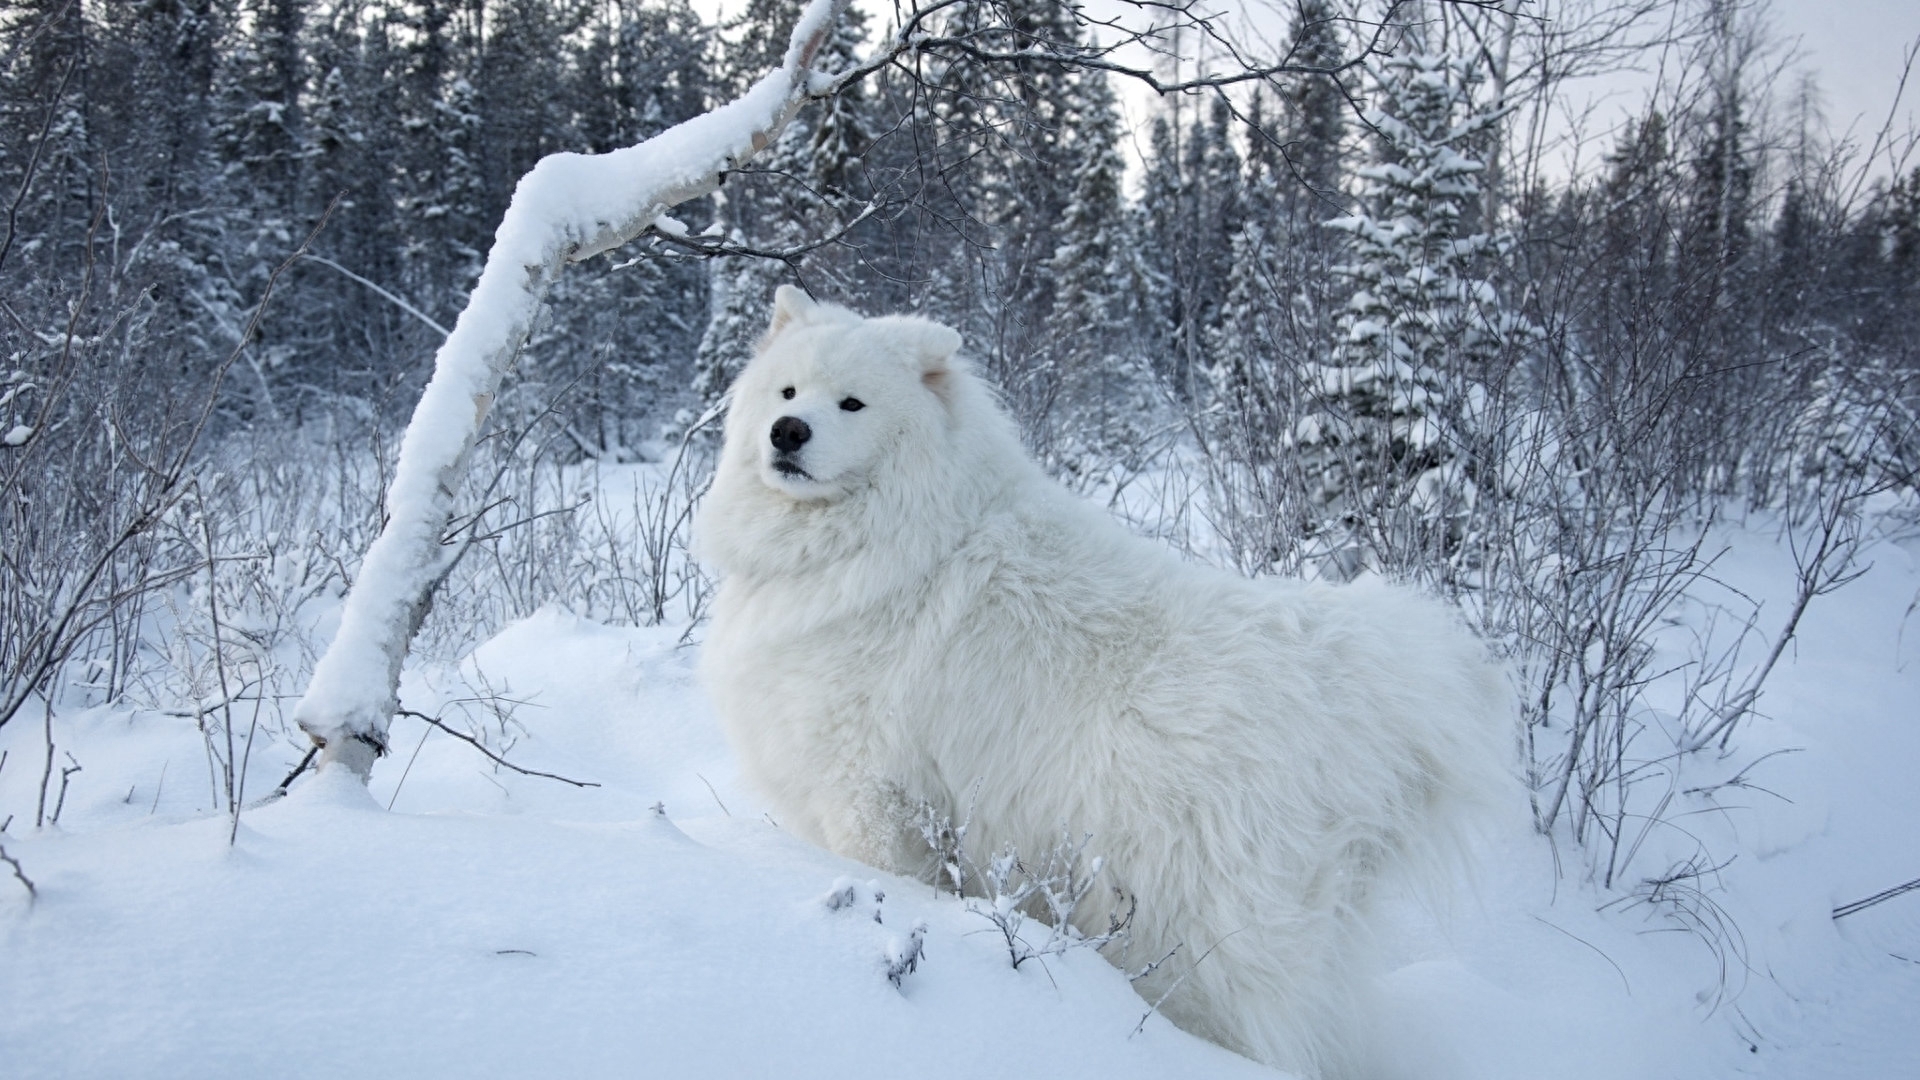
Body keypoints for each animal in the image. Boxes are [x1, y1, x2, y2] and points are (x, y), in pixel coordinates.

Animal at [695, 284, 1512, 1068]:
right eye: (787, 392)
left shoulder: (870, 796)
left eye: (852, 404)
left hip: (1192, 930)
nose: (787, 432)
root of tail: (1350, 679)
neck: (886, 537)